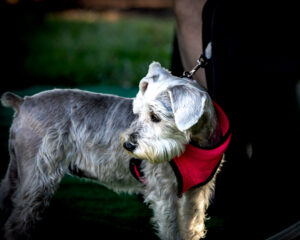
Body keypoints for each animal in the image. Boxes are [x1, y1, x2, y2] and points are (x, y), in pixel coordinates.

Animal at [0, 62, 231, 240]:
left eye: (155, 117)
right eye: (137, 113)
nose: (128, 145)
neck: (197, 143)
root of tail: (24, 102)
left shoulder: (196, 194)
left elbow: (192, 227)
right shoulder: (165, 194)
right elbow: (172, 231)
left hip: (18, 169)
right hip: (38, 177)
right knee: (17, 221)